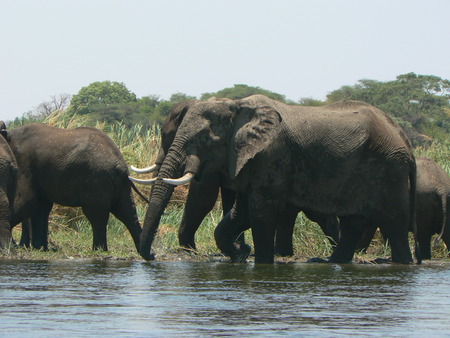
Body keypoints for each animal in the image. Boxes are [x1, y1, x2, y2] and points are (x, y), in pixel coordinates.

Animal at [0, 123, 142, 252]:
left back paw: (99, 250)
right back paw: (144, 252)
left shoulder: (24, 164)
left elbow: (25, 202)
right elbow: (41, 207)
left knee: (97, 215)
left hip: (97, 178)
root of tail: (120, 165)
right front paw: (39, 248)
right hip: (119, 183)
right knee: (127, 212)